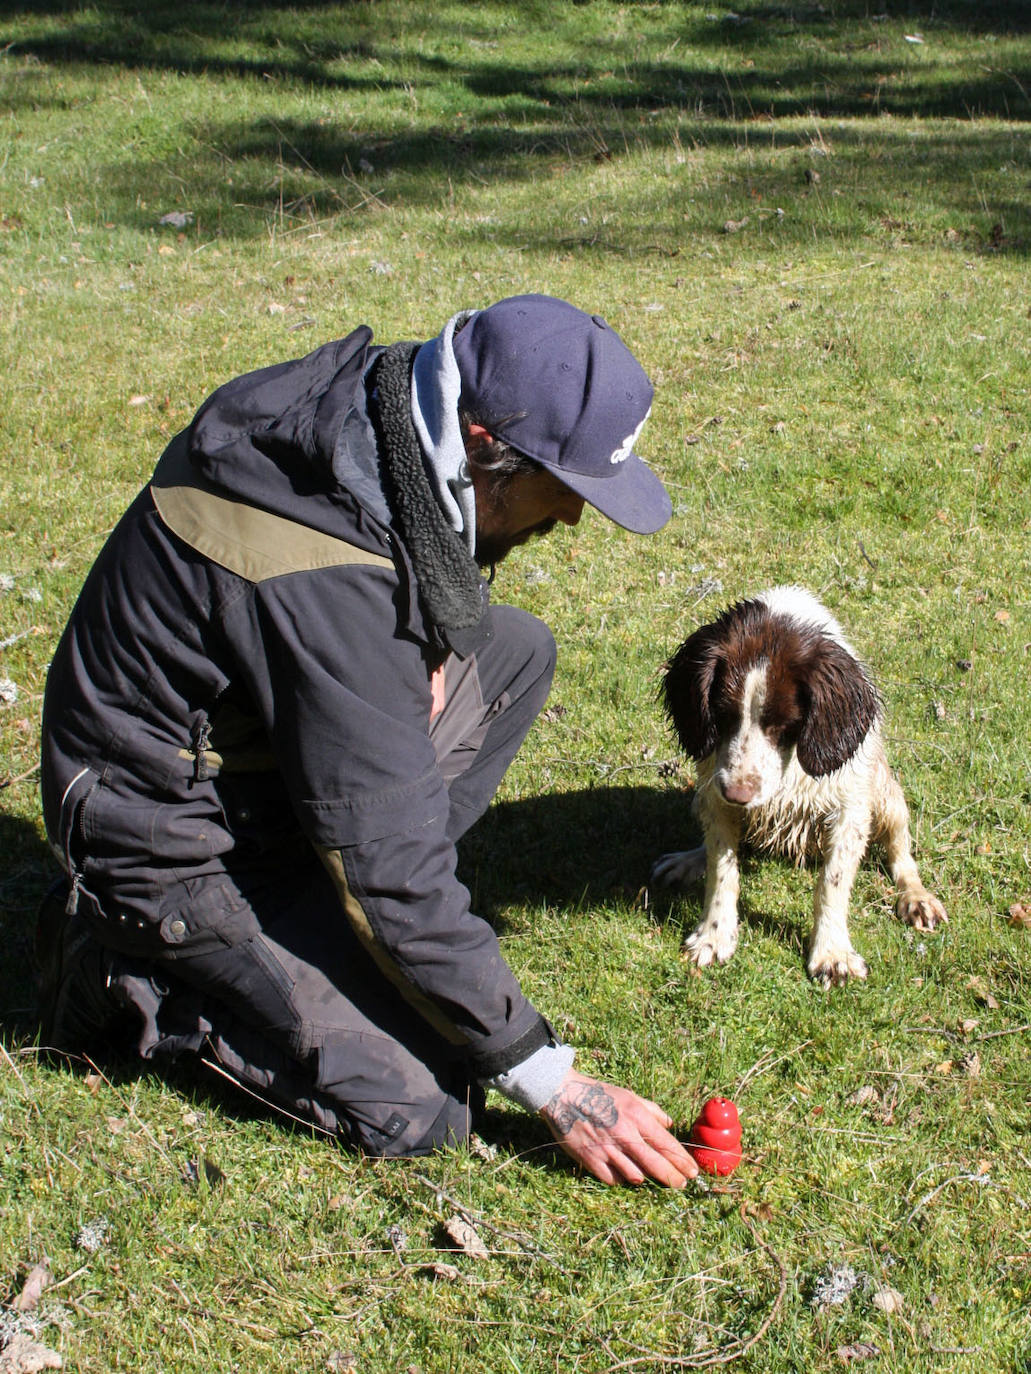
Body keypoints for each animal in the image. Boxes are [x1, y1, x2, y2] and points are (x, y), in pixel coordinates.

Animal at [657, 585, 951, 983]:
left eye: (784, 724)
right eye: (721, 716)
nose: (738, 794)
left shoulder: (849, 809)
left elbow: (832, 882)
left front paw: (832, 952)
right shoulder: (717, 796)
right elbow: (722, 871)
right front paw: (713, 936)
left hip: (886, 796)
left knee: (901, 851)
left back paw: (915, 897)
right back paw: (691, 859)